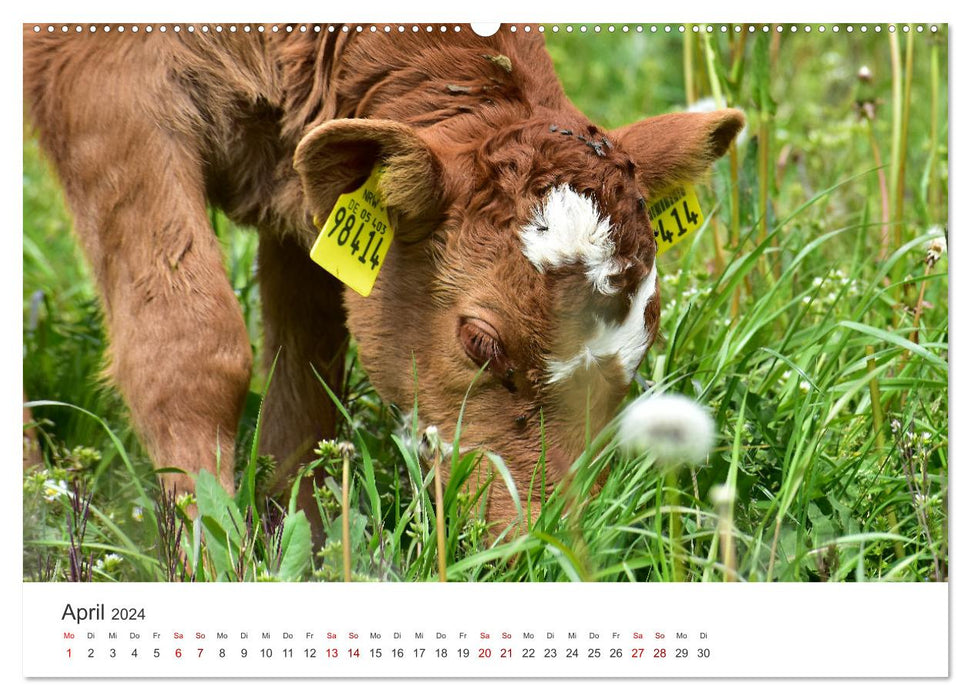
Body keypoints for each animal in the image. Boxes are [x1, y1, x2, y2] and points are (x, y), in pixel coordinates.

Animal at [26, 21, 744, 536]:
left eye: (641, 349)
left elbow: (308, 378)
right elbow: (189, 350)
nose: (552, 541)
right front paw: (214, 558)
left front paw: (308, 547)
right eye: (480, 344)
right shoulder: (108, 89)